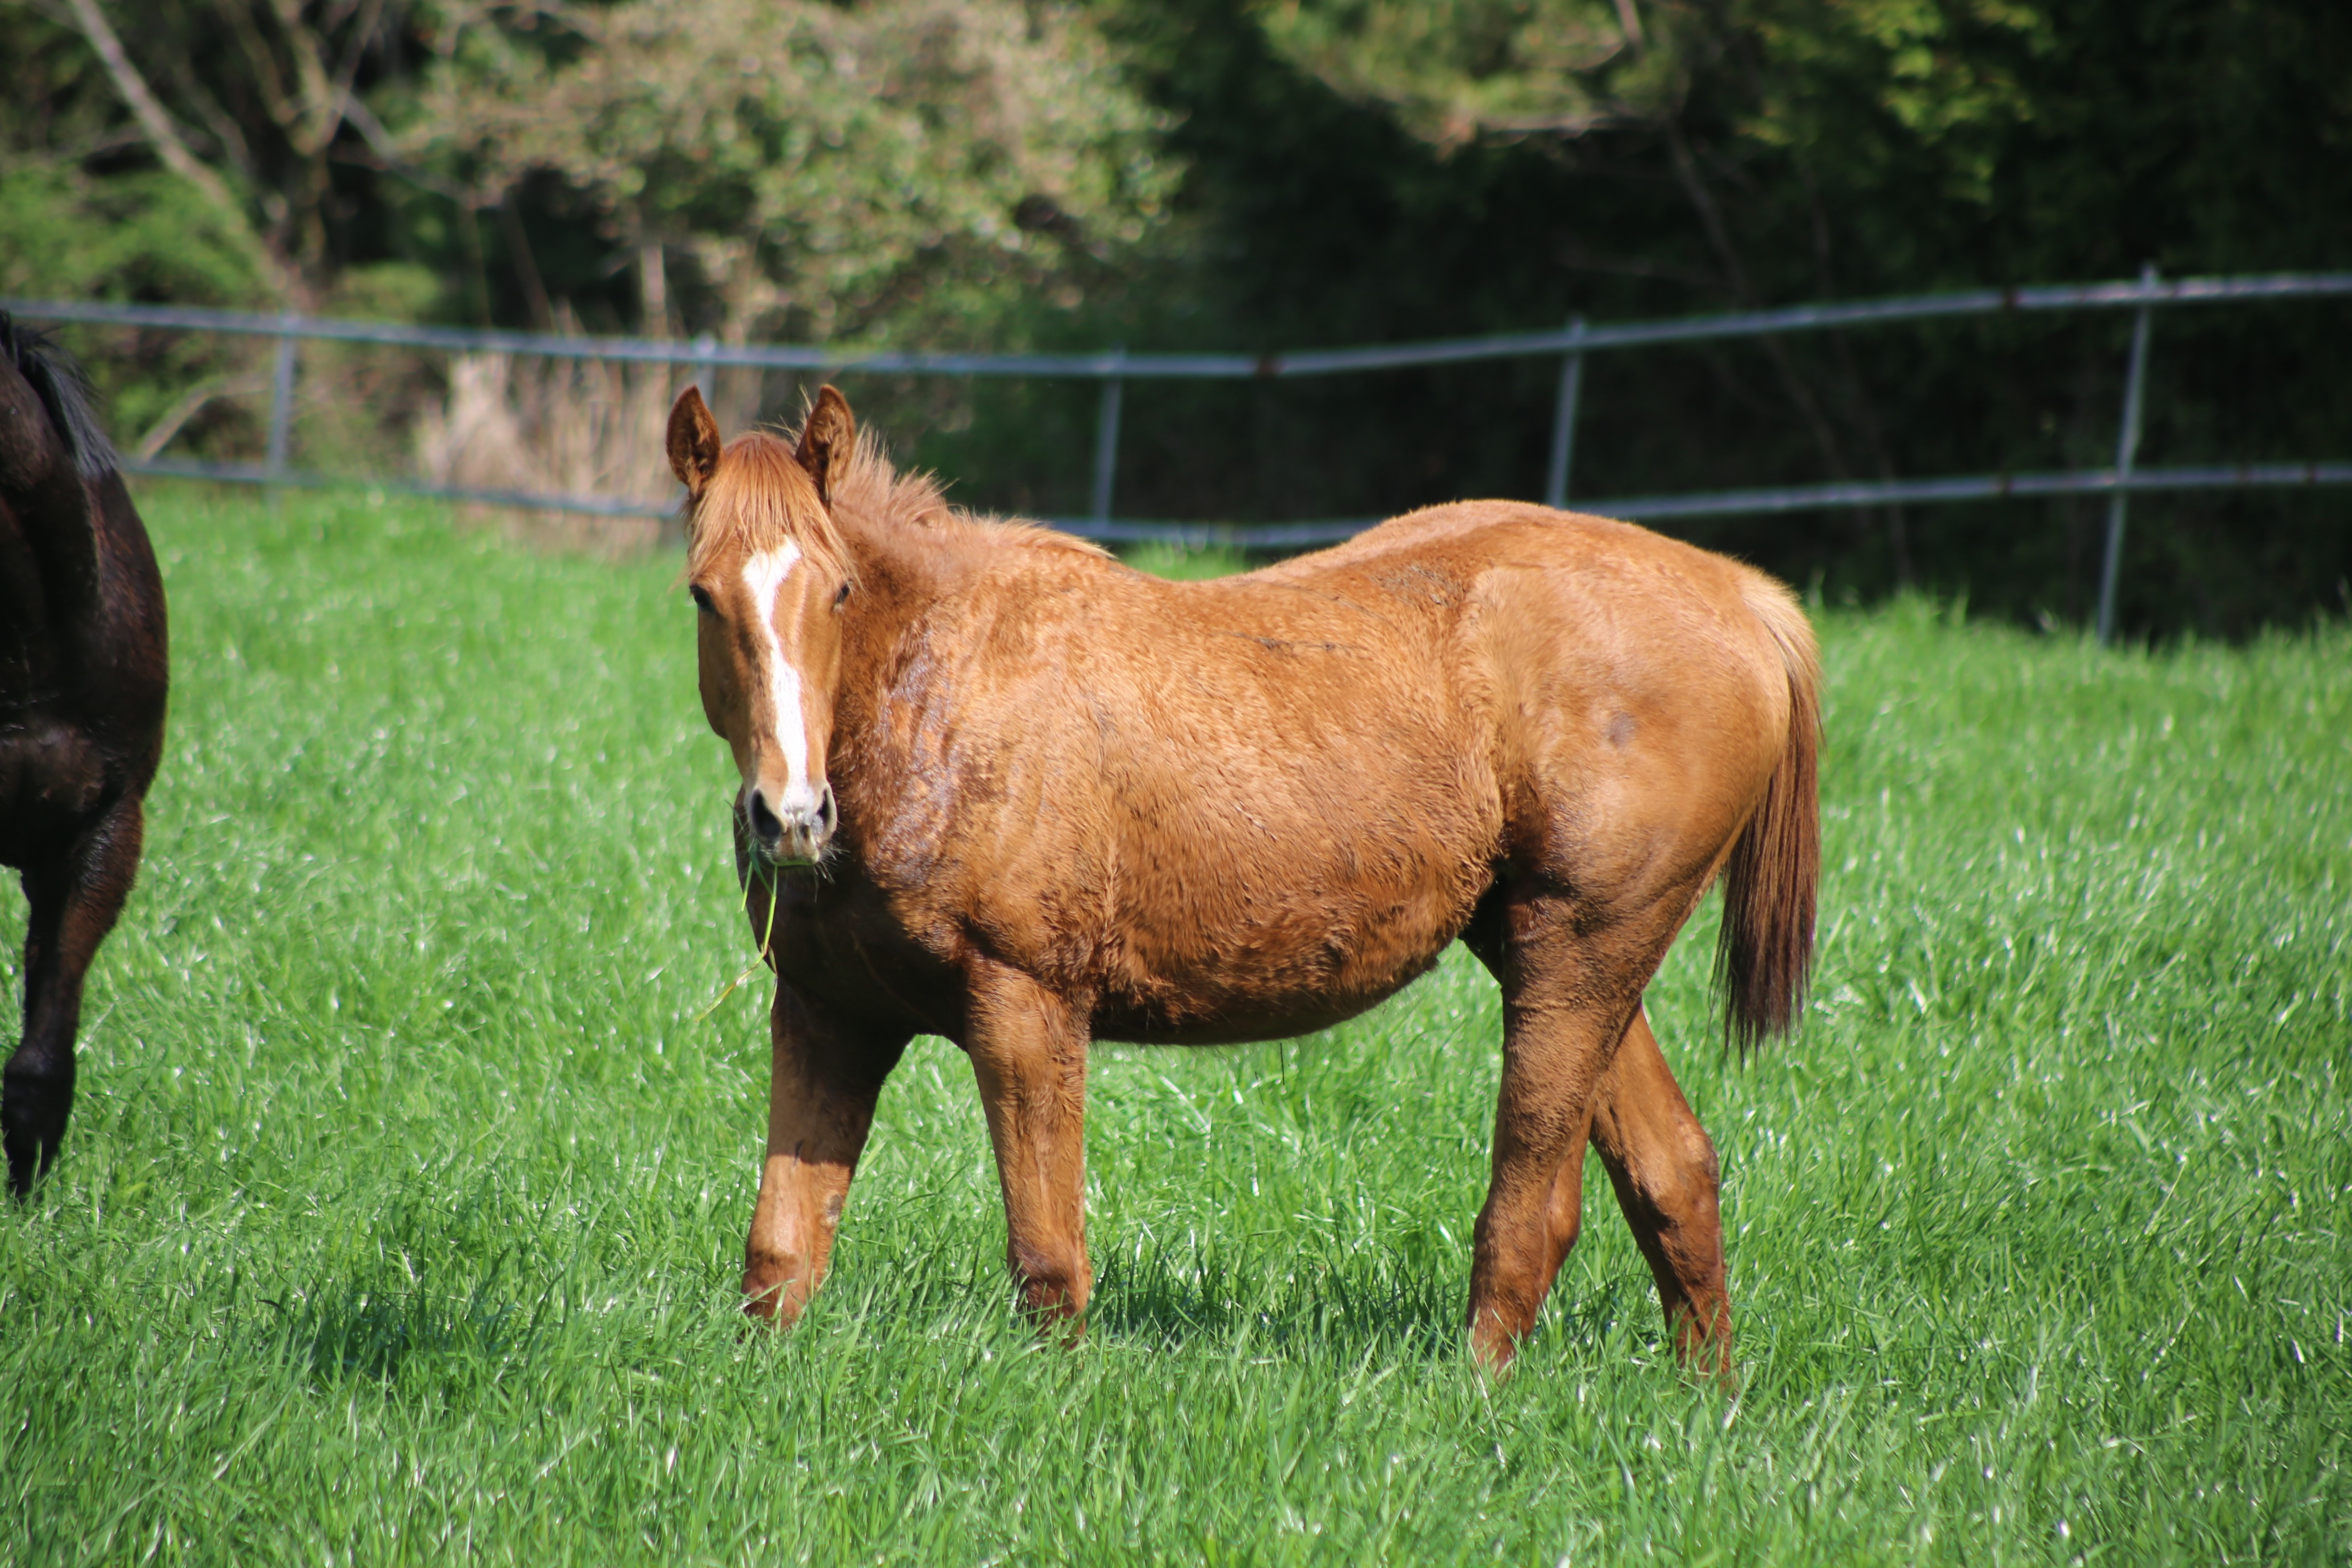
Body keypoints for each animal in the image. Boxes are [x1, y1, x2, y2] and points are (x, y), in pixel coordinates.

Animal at [663, 383, 1816, 1373]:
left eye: (838, 590)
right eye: (702, 595)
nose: (792, 817)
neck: (934, 694)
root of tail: (1742, 597)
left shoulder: (1026, 1009)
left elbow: (1048, 1259)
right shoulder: (828, 1015)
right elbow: (780, 1256)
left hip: (1574, 961)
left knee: (1532, 1209)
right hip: (1563, 961)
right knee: (1673, 1169)